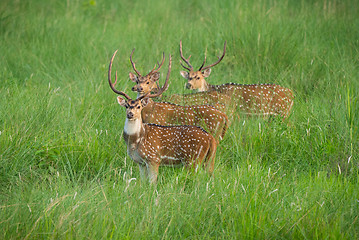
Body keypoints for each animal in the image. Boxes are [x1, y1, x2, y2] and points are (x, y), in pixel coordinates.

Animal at [108, 49, 218, 183]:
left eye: (139, 106)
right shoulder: (140, 162)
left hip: (192, 159)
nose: (130, 114)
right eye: (127, 105)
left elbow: (152, 183)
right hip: (209, 159)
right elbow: (143, 183)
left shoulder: (153, 158)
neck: (135, 141)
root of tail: (210, 138)